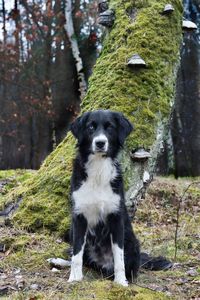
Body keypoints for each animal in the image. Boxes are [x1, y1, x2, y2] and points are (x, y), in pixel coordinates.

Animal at [68, 109, 140, 286]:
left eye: (110, 127)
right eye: (91, 127)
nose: (100, 143)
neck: (98, 169)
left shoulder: (116, 217)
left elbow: (119, 256)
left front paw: (121, 282)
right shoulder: (79, 217)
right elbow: (76, 254)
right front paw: (74, 278)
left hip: (133, 243)